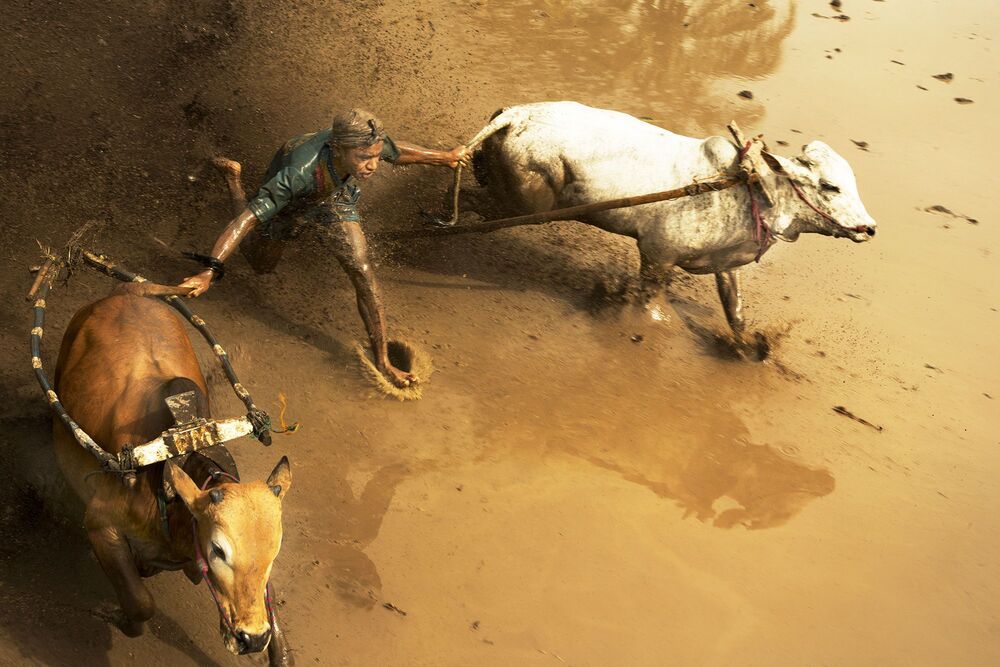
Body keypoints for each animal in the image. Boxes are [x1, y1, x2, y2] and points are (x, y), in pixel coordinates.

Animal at [51, 285, 293, 665]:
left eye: (275, 551)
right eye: (218, 550)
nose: (252, 638)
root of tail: (130, 290)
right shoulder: (100, 523)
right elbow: (141, 603)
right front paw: (121, 619)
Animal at [460, 101, 877, 354]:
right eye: (831, 186)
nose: (869, 228)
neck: (749, 187)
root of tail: (516, 115)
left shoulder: (724, 264)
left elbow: (736, 312)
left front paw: (747, 348)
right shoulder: (658, 255)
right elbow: (649, 301)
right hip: (524, 204)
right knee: (468, 205)